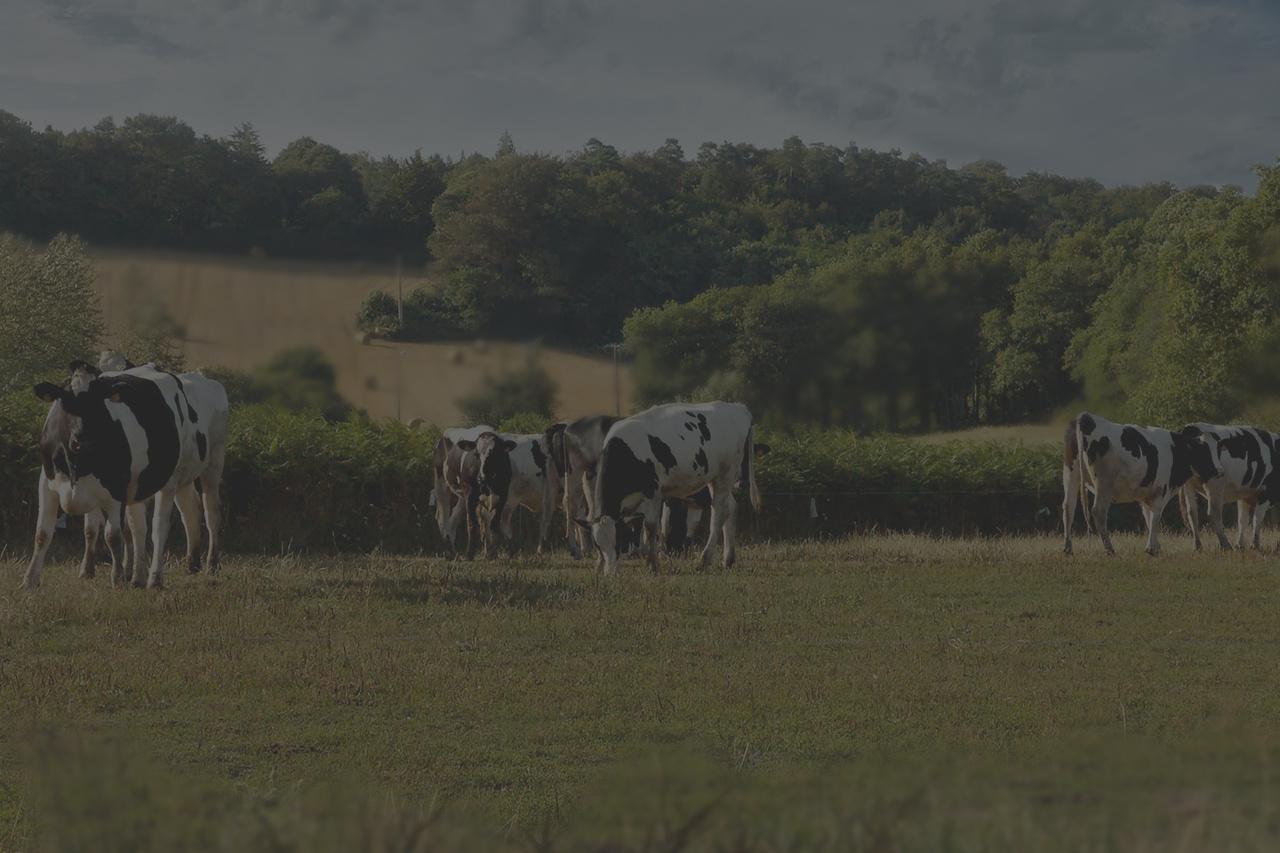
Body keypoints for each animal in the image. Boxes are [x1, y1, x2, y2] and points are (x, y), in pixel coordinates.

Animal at [578, 402, 757, 573]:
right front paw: (599, 566)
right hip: (715, 479)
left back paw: (704, 560)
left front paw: (652, 564)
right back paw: (728, 559)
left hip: (725, 474)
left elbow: (650, 527)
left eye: (618, 543)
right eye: (598, 546)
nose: (610, 573)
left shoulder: (654, 492)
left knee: (719, 513)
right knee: (731, 507)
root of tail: (737, 407)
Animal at [1059, 412, 1218, 558]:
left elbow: (1148, 517)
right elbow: (1155, 517)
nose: (1218, 469)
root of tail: (1087, 418)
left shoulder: (1146, 495)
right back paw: (1110, 549)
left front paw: (1156, 546)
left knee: (1068, 507)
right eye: (1204, 450)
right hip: (1104, 483)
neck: (1174, 451)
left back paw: (1068, 548)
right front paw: (1151, 549)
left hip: (1070, 474)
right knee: (1099, 512)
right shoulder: (1160, 492)